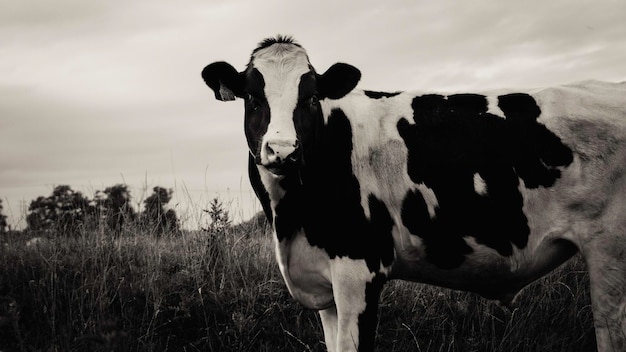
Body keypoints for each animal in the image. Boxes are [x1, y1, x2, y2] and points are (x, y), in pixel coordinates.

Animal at [201, 36, 624, 352]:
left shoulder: (360, 270)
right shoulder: (325, 283)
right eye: (253, 98)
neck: (292, 220)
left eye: (310, 98)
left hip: (611, 251)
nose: (283, 151)